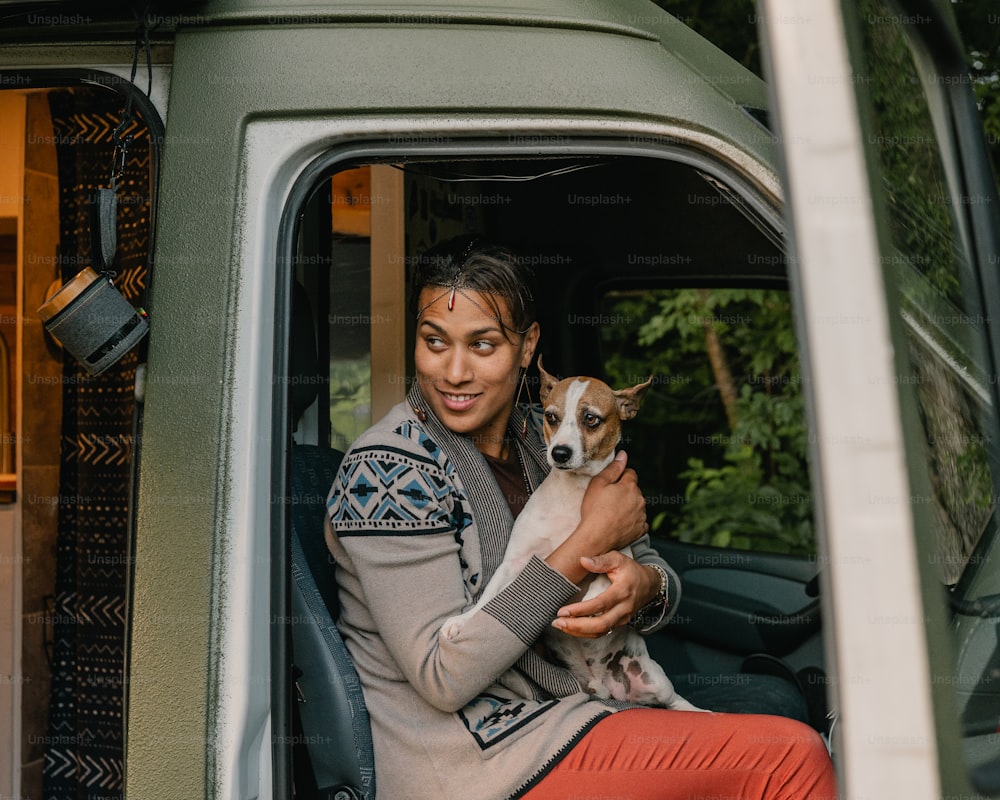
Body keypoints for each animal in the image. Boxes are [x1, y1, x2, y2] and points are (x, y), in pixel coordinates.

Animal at [442, 360, 700, 708]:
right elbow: (489, 598)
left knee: (677, 702)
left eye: (591, 419)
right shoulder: (515, 562)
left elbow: (604, 574)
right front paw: (462, 622)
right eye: (551, 417)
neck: (573, 494)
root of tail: (604, 684)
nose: (560, 453)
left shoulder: (620, 553)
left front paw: (594, 598)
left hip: (655, 682)